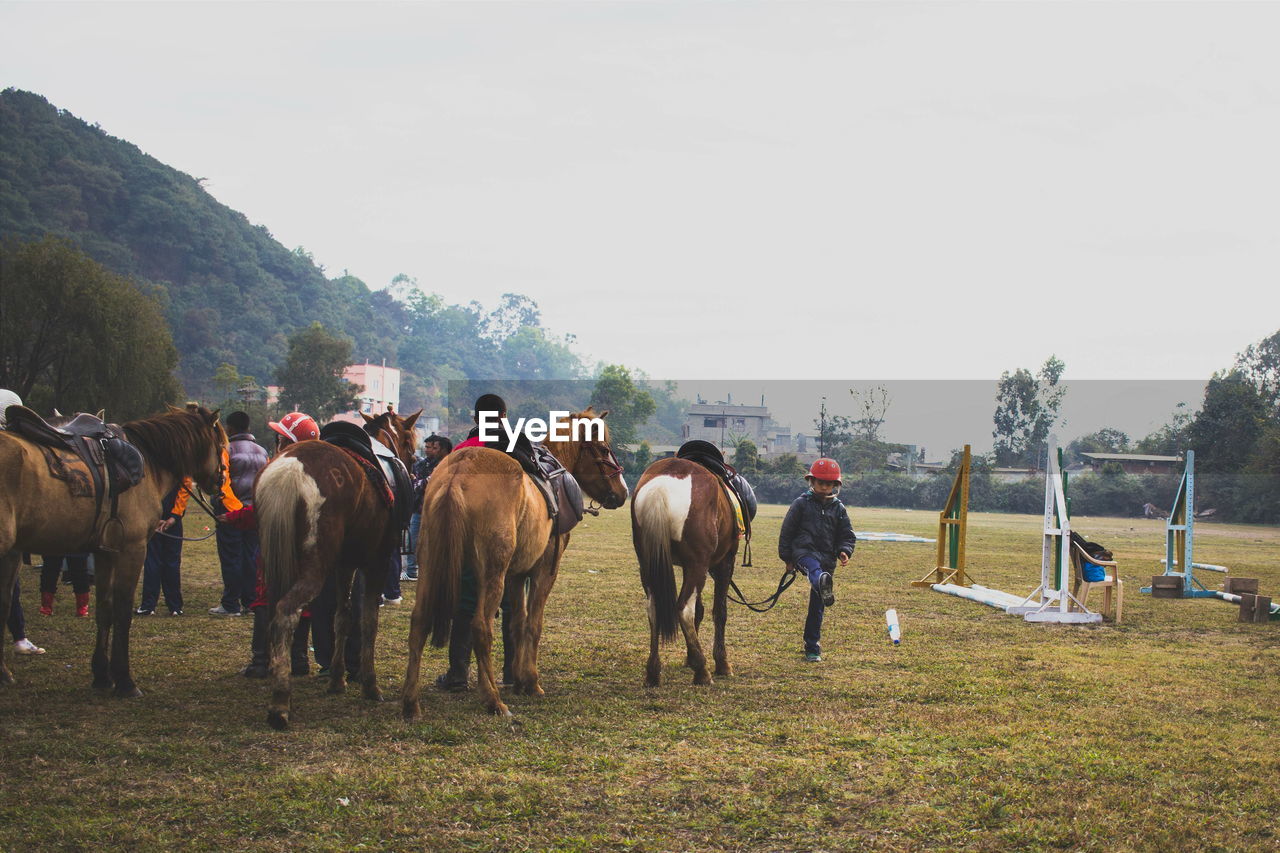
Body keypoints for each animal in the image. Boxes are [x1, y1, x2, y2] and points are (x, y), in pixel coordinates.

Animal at [0, 404, 227, 691]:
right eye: (221, 443)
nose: (220, 483)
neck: (149, 462)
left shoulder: (105, 552)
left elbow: (104, 609)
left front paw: (101, 675)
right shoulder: (132, 549)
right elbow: (122, 611)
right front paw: (124, 679)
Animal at [256, 409, 419, 727]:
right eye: (408, 440)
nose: (414, 464)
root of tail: (290, 471)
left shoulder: (345, 564)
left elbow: (342, 617)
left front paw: (337, 680)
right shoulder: (377, 560)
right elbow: (368, 620)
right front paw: (370, 684)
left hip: (275, 562)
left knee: (272, 612)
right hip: (315, 568)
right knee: (285, 614)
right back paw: (280, 701)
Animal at [394, 407, 624, 717]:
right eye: (604, 449)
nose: (623, 492)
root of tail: (458, 473)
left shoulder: (516, 574)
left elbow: (517, 623)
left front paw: (518, 678)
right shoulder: (543, 571)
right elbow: (533, 623)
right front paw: (531, 681)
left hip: (431, 560)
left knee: (419, 622)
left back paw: (411, 701)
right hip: (493, 571)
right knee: (480, 626)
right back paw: (492, 699)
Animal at [629, 458, 742, 686]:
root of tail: (660, 488)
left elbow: (701, 610)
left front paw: (689, 658)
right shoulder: (724, 562)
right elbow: (719, 612)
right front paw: (721, 663)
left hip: (647, 563)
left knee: (654, 608)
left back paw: (653, 672)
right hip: (699, 564)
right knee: (684, 609)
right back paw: (702, 671)